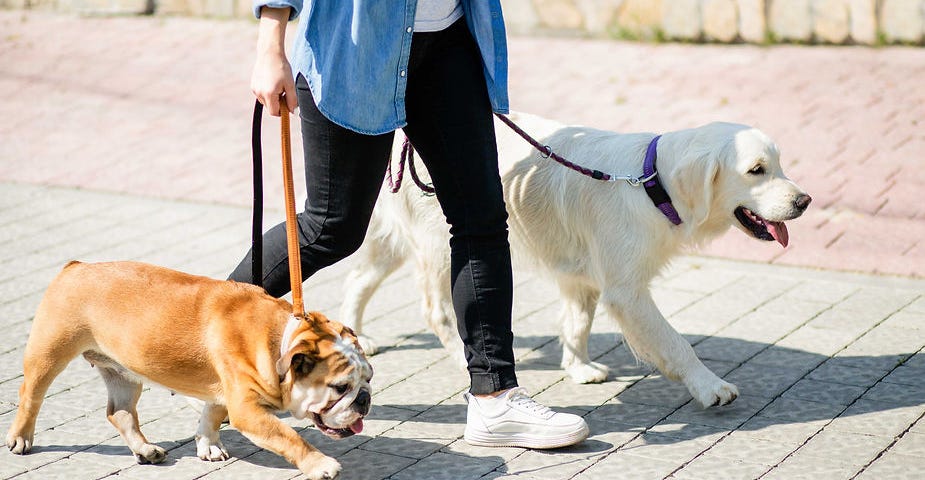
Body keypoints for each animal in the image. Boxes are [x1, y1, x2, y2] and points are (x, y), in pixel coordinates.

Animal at [338, 113, 808, 408]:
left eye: (779, 164)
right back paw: (456, 356)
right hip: (440, 245)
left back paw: (356, 341)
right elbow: (674, 342)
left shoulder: (583, 278)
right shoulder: (627, 291)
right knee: (434, 310)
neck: (650, 184)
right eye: (756, 170)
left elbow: (576, 322)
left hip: (393, 241)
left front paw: (579, 367)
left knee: (357, 280)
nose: (804, 201)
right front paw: (709, 386)